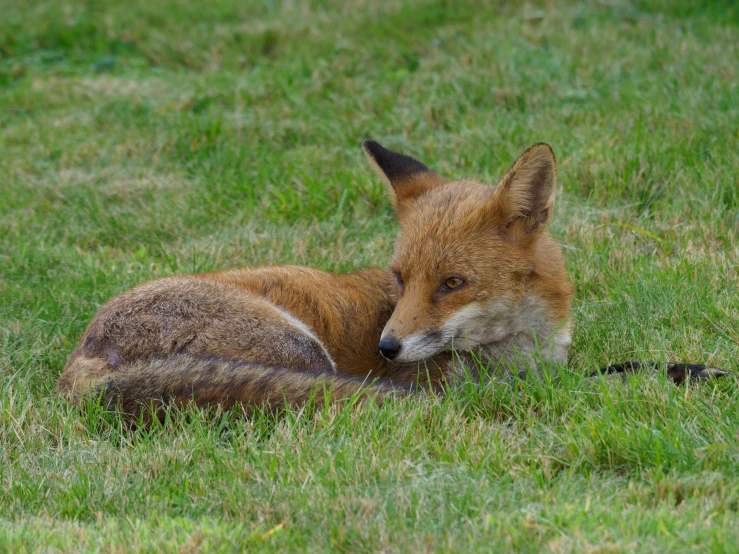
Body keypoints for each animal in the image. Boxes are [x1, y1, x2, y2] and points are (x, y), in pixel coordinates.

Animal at [57, 140, 728, 416]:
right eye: (401, 278)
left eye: (452, 283)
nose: (386, 349)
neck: (518, 351)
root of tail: (80, 364)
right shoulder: (495, 386)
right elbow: (596, 381)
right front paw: (683, 374)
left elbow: (613, 367)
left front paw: (689, 369)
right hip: (302, 351)